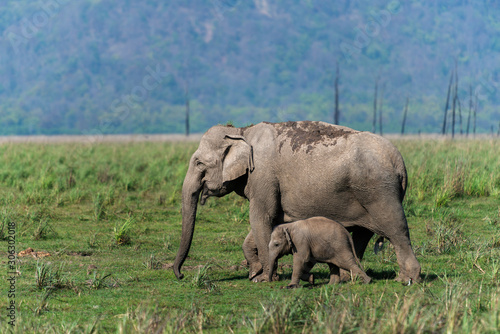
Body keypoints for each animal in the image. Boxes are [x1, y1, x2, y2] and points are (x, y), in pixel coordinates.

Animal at [174, 121, 420, 284]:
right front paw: (255, 272)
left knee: (397, 231)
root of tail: (400, 162)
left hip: (379, 192)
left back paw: (406, 280)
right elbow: (269, 222)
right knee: (361, 235)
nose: (180, 274)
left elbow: (261, 218)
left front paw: (264, 279)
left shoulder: (262, 175)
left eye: (198, 163)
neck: (242, 131)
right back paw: (346, 278)